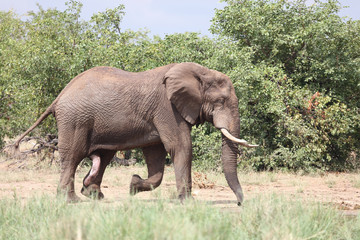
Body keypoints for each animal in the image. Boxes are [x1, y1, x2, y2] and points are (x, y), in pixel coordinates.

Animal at [14, 62, 258, 205]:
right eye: (221, 101)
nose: (239, 203)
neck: (199, 73)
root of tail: (59, 97)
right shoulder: (167, 108)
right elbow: (180, 146)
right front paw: (186, 202)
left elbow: (156, 153)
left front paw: (133, 185)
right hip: (75, 120)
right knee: (73, 156)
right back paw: (72, 200)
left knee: (103, 156)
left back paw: (94, 196)